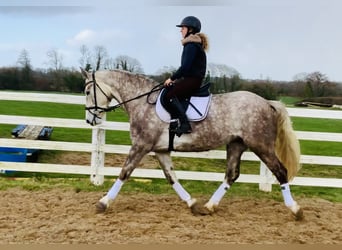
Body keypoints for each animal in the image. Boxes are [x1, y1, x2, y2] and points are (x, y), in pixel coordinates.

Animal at [81, 68, 304, 219]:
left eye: (87, 92)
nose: (90, 121)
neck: (142, 103)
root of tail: (267, 103)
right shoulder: (160, 150)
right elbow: (171, 178)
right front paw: (192, 204)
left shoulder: (141, 146)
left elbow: (124, 173)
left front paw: (103, 203)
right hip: (236, 144)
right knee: (231, 175)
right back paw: (209, 206)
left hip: (261, 146)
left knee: (280, 171)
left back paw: (296, 210)